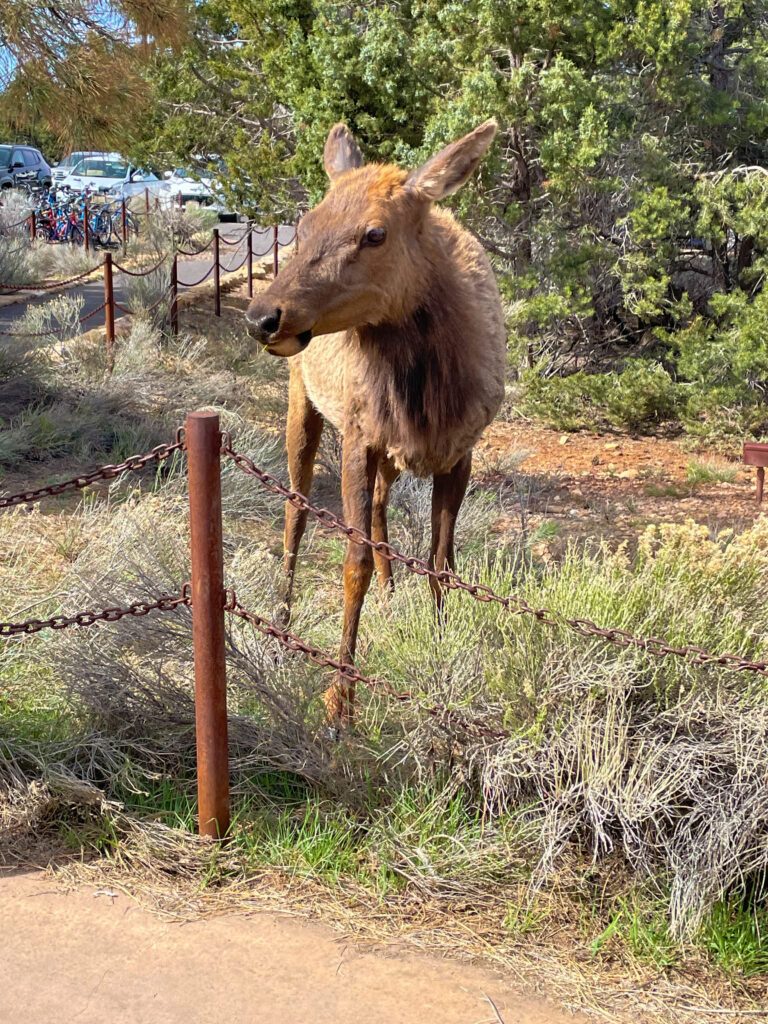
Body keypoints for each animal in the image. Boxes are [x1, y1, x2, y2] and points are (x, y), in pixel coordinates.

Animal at [249, 119, 507, 729]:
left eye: (375, 234)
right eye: (304, 225)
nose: (263, 316)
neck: (428, 394)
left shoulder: (459, 452)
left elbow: (441, 561)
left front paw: (439, 651)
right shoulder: (357, 437)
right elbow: (354, 562)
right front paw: (341, 699)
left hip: (389, 456)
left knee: (382, 508)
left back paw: (391, 599)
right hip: (303, 402)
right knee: (296, 509)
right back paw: (282, 625)